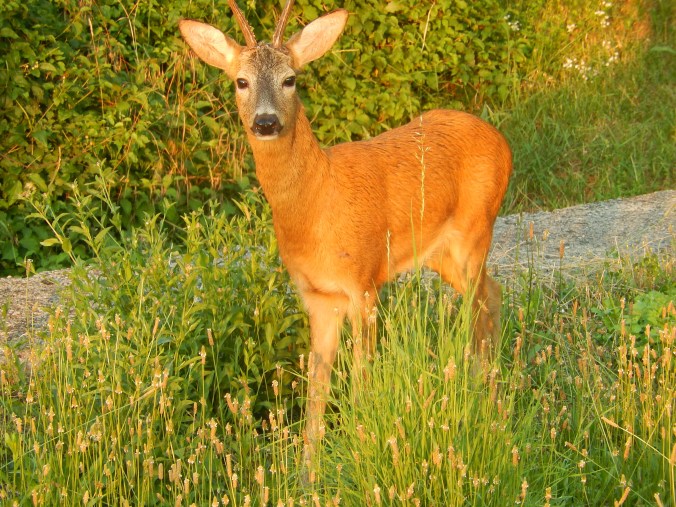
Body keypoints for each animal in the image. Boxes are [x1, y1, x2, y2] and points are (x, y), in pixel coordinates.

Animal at [179, 0, 512, 465]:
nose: (265, 122)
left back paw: (490, 402)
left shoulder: (364, 283)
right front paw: (308, 474)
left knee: (482, 303)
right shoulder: (319, 297)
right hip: (442, 255)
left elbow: (361, 382)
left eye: (290, 78)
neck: (319, 204)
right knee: (491, 293)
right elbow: (316, 392)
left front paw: (365, 452)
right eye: (240, 81)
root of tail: (502, 141)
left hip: (475, 232)